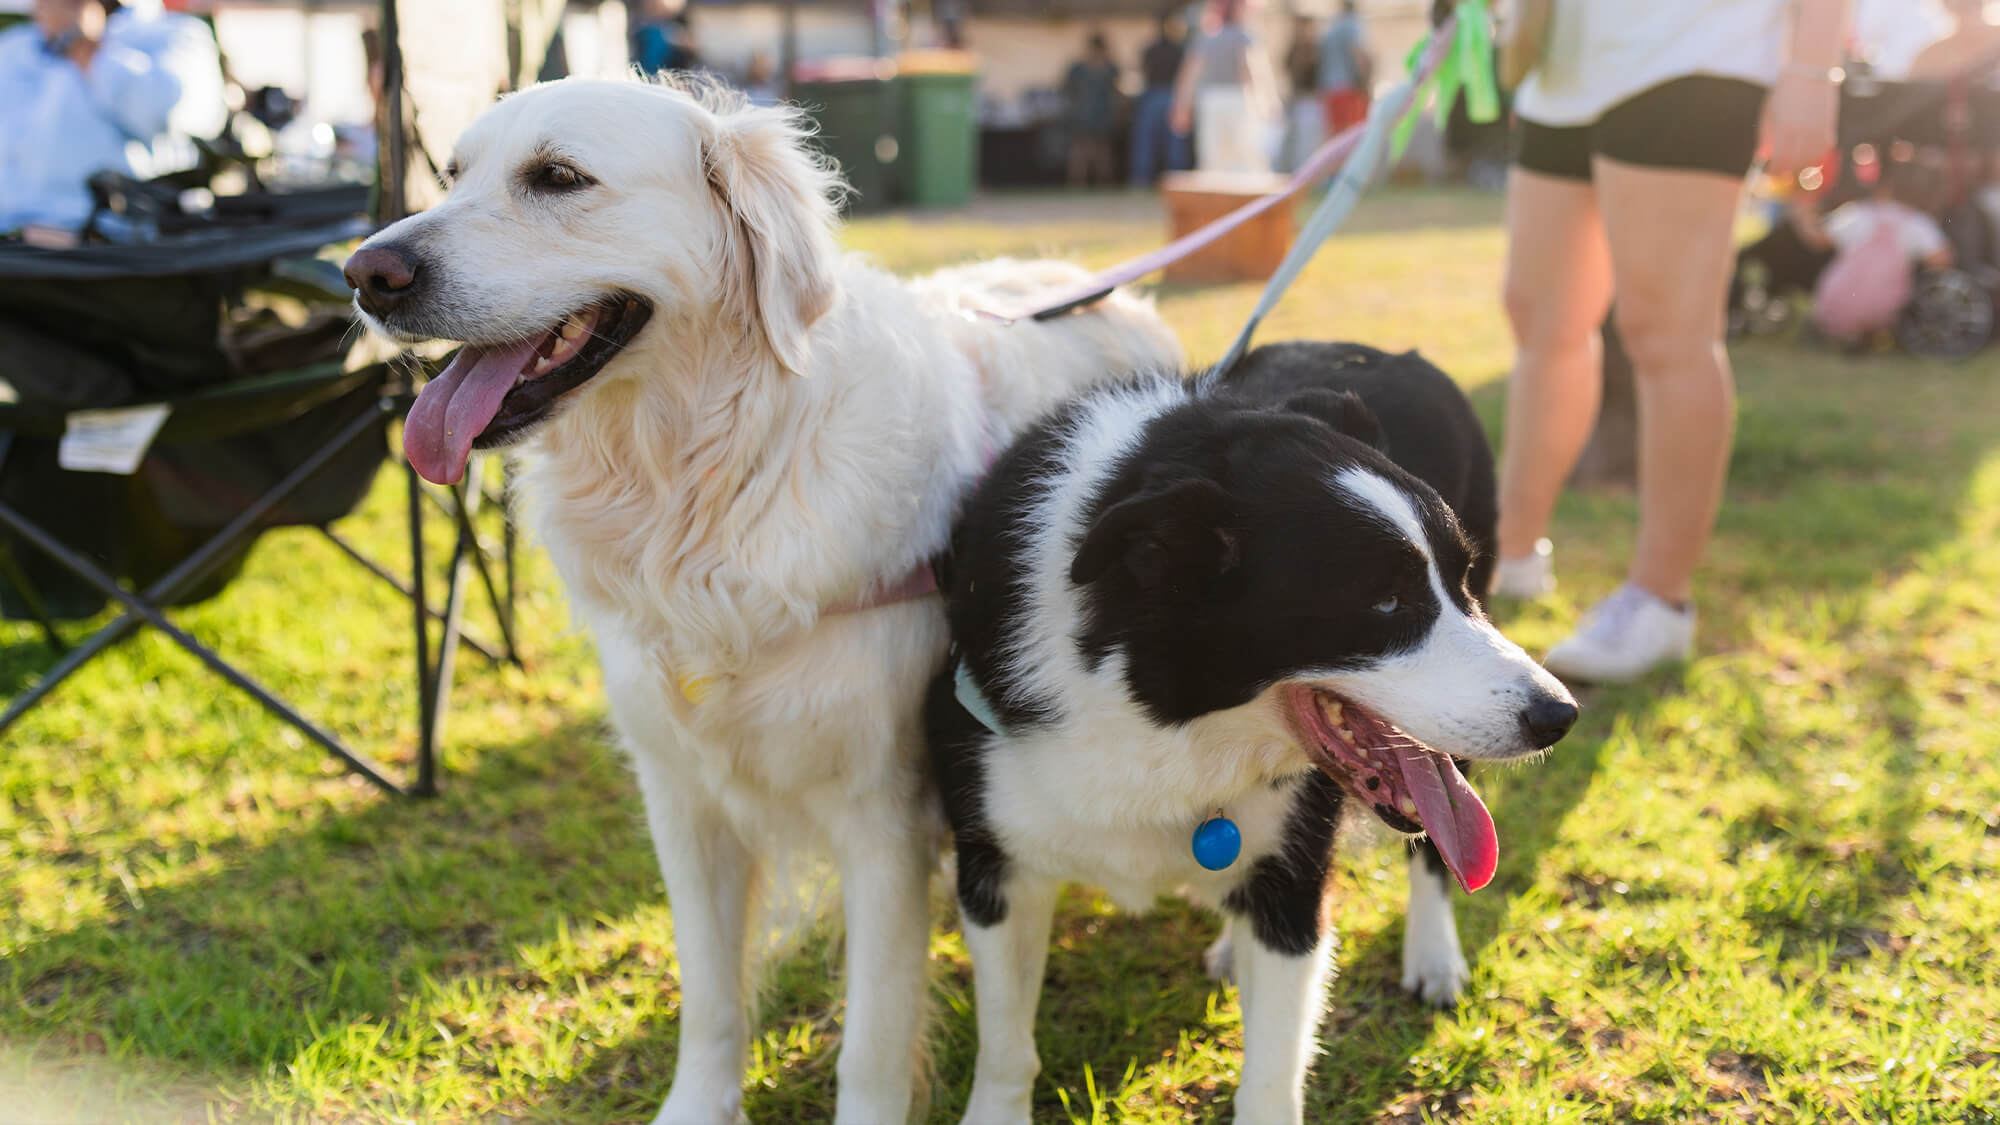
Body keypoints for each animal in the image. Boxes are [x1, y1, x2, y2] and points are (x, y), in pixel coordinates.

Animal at [344, 79, 1176, 1120]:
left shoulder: (883, 817)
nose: (364, 272)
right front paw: (698, 1105)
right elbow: (710, 998)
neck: (707, 486)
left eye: (559, 177)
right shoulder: (682, 799)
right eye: (452, 174)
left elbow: (872, 1040)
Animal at [920, 342, 1576, 1120]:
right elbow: (1004, 1042)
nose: (1559, 716)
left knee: (1437, 853)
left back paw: (1433, 955)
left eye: (1463, 580)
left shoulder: (1294, 883)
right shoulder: (994, 863)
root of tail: (1398, 354)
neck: (1160, 705)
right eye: (1385, 602)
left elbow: (1273, 1065)